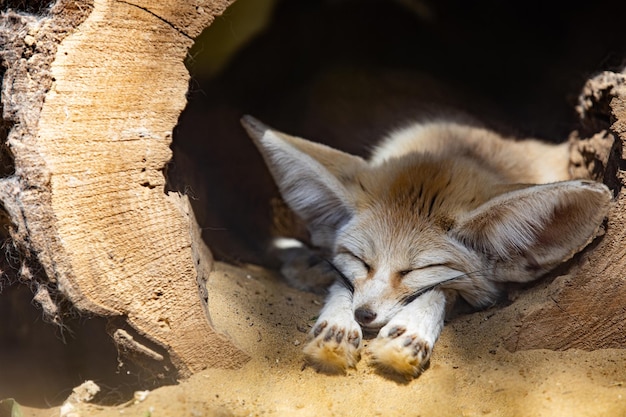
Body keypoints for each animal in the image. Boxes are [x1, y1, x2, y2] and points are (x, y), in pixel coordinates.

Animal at [240, 115, 608, 378]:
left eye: (416, 270)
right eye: (361, 260)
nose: (363, 315)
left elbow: (443, 290)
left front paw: (409, 334)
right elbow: (342, 281)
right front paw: (337, 326)